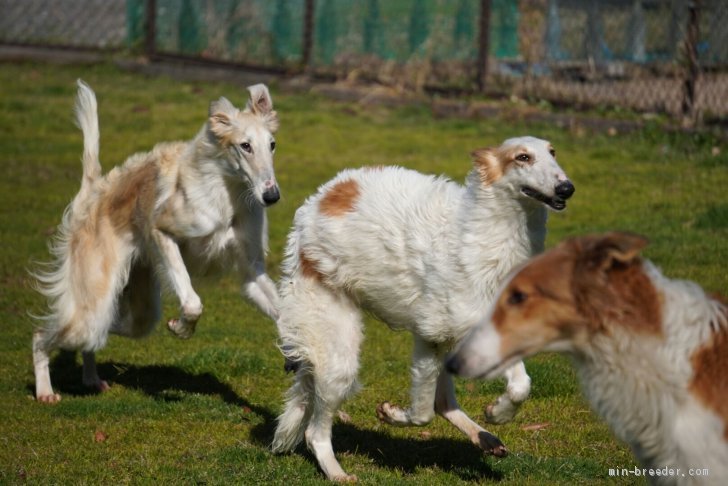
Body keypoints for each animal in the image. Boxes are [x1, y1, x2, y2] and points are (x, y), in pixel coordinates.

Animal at [32, 79, 282, 402]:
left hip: (137, 311)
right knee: (41, 335)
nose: (272, 196)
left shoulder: (251, 269)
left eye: (272, 144)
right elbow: (192, 302)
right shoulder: (162, 231)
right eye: (245, 145)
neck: (226, 192)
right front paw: (181, 327)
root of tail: (94, 192)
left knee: (98, 336)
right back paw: (45, 390)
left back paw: (91, 379)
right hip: (92, 306)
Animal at [272, 137, 576, 482]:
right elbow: (421, 413)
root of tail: (320, 198)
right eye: (522, 157)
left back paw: (484, 436)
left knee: (443, 401)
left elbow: (518, 386)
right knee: (315, 433)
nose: (567, 188)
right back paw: (337, 473)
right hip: (338, 355)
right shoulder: (432, 333)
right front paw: (393, 415)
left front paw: (498, 413)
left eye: (553, 152)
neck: (487, 236)